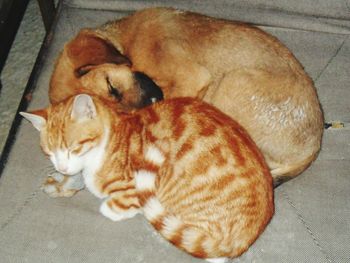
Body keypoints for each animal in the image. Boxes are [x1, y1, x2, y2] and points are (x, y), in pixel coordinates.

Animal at [21, 95, 274, 262]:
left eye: (74, 148)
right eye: (49, 152)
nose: (62, 166)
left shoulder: (131, 190)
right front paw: (60, 181)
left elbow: (112, 206)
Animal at [49, 7, 322, 187]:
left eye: (111, 86)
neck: (127, 43)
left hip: (233, 82)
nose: (152, 100)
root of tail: (313, 147)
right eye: (116, 111)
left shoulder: (192, 78)